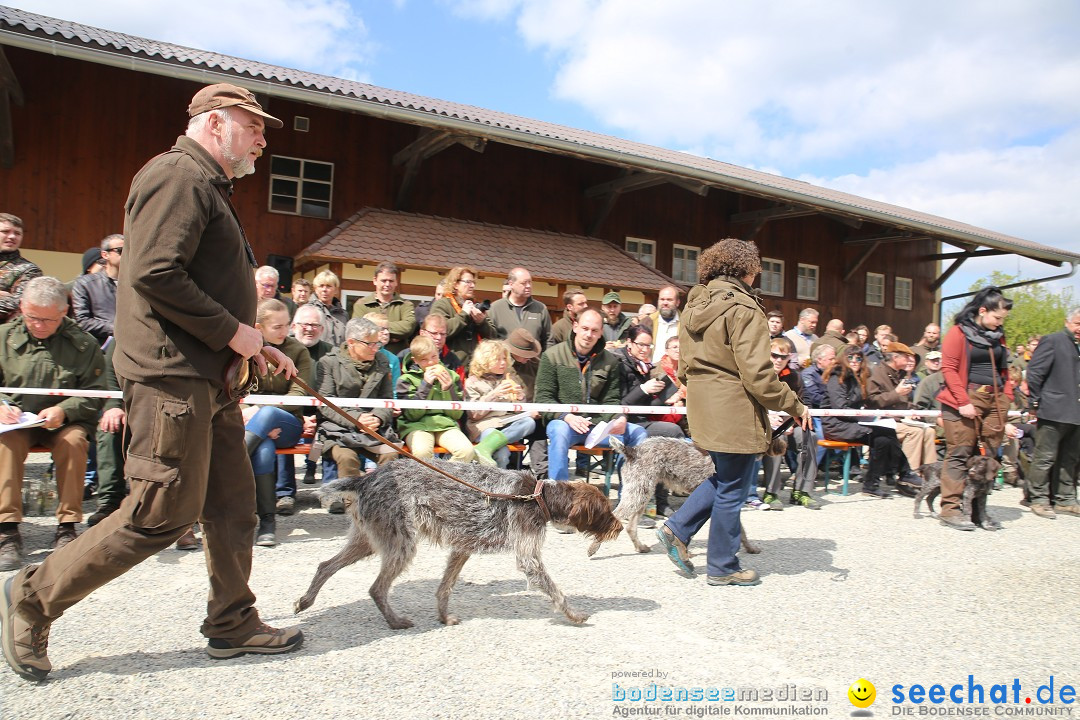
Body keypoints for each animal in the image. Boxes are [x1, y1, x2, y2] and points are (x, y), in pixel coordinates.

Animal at [295, 459, 622, 626]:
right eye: (605, 512)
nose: (619, 526)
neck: (537, 495)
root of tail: (367, 478)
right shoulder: (528, 559)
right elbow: (557, 592)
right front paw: (574, 614)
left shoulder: (462, 548)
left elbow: (445, 587)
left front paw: (443, 616)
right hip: (400, 544)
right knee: (376, 588)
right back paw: (395, 622)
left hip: (368, 539)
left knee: (325, 566)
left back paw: (306, 600)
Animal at [591, 433, 760, 557]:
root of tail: (633, 450)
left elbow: (739, 530)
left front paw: (749, 547)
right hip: (637, 494)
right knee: (615, 517)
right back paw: (594, 547)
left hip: (642, 493)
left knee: (631, 527)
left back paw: (641, 547)